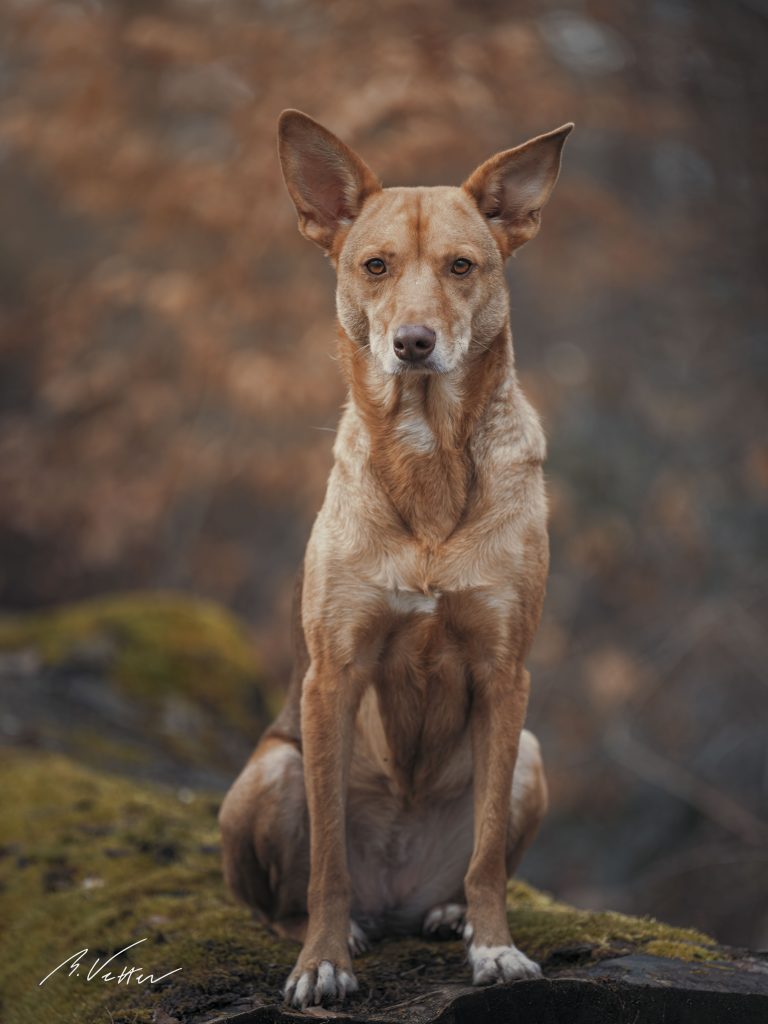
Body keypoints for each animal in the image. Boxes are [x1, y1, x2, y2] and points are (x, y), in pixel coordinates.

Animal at [219, 110, 573, 1007]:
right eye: (373, 266)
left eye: (462, 266)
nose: (414, 343)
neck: (428, 458)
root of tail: (398, 895)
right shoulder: (333, 672)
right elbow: (327, 862)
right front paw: (321, 964)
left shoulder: (504, 671)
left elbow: (488, 856)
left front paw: (494, 950)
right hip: (268, 771)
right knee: (287, 895)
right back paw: (337, 931)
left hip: (528, 754)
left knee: (471, 863)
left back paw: (448, 916)